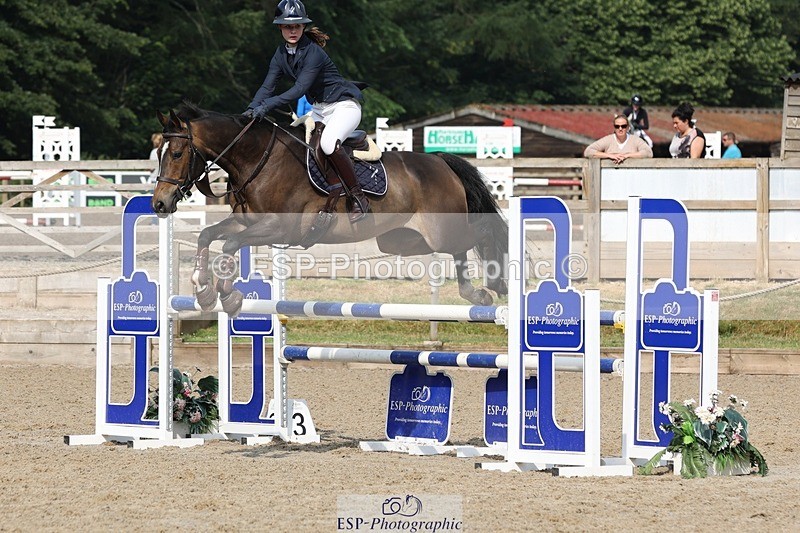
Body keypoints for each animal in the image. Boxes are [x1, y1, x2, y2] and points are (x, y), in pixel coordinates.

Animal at [151, 103, 508, 316]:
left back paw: (495, 285)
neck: (257, 159)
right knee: (460, 249)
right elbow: (207, 235)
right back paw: (475, 294)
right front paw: (203, 291)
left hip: (442, 231)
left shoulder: (280, 228)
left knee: (483, 232)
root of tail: (440, 161)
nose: (160, 203)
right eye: (159, 153)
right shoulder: (245, 222)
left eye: (178, 153)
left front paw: (228, 295)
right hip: (403, 240)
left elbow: (228, 244)